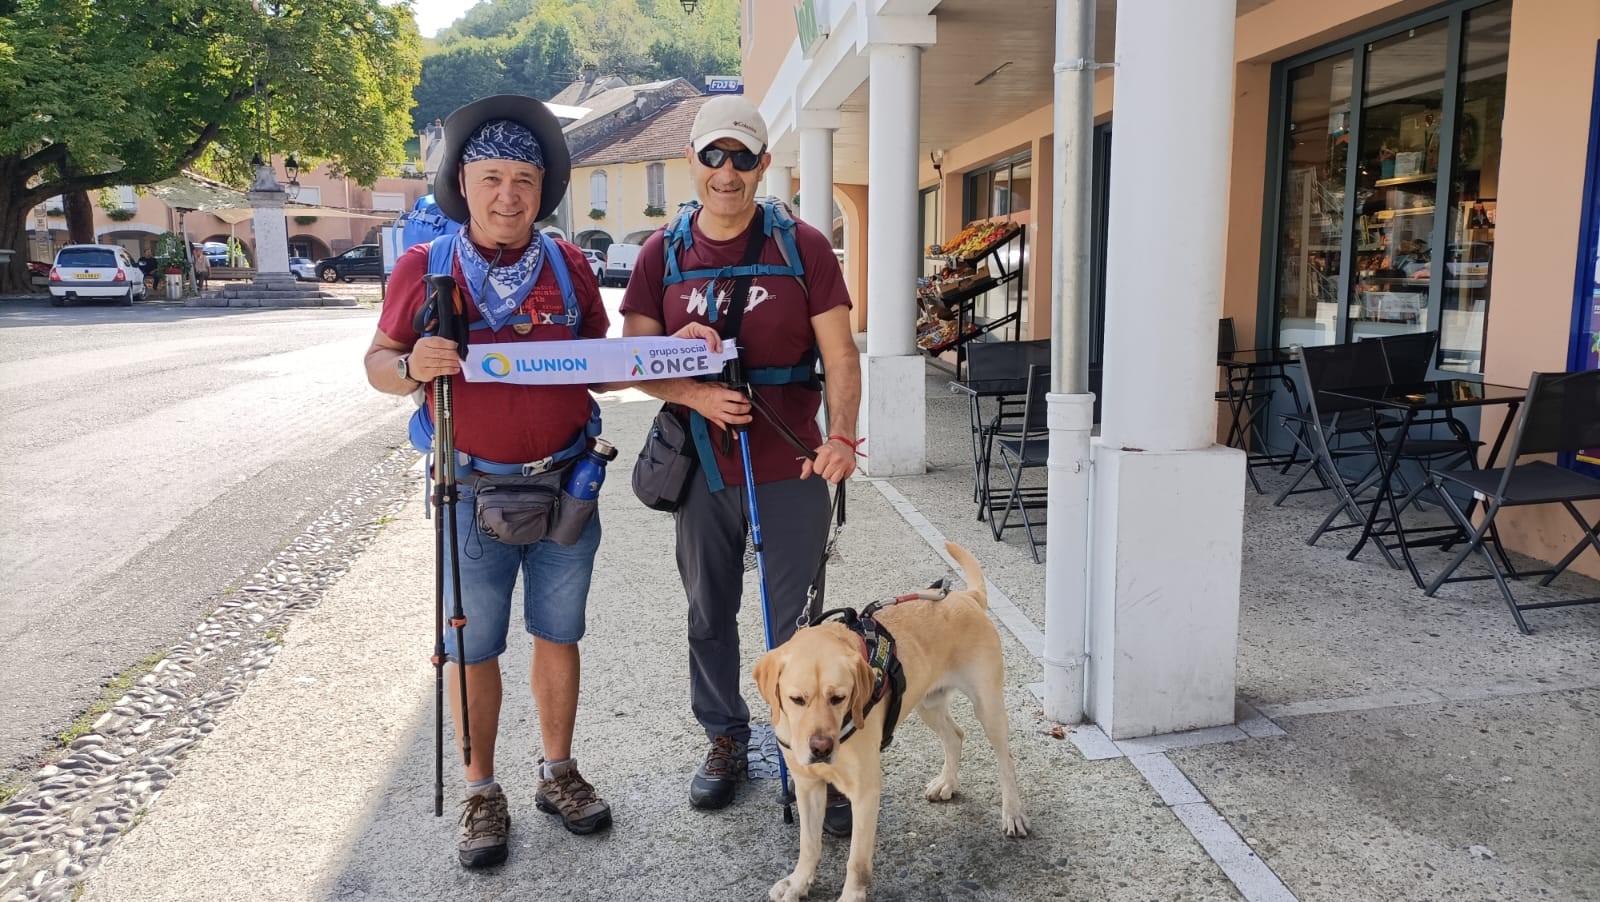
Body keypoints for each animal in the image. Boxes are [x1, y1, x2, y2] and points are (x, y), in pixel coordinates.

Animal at [752, 540, 1024, 895]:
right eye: (797, 699)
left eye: (839, 698)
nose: (821, 748)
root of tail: (967, 596)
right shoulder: (808, 787)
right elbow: (808, 845)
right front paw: (798, 883)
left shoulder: (866, 792)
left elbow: (857, 863)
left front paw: (849, 896)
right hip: (927, 702)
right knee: (956, 735)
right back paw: (947, 783)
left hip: (988, 706)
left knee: (1005, 759)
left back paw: (1012, 813)